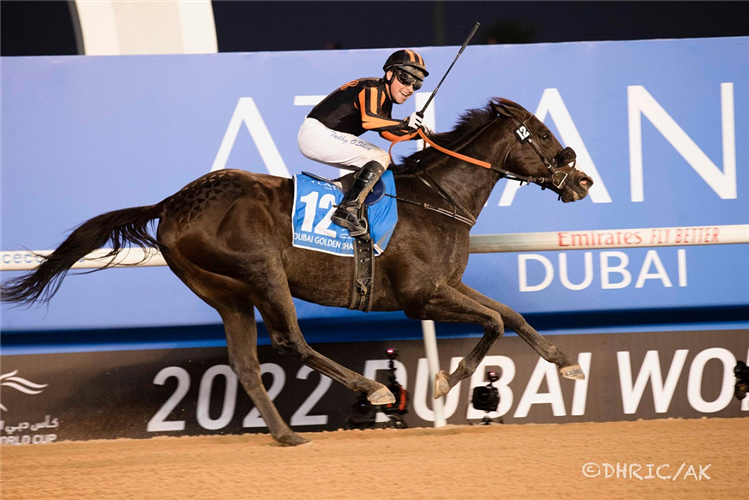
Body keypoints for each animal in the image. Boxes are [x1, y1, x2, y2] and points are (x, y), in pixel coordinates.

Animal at [2, 97, 592, 446]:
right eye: (540, 134)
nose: (583, 179)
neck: (437, 198)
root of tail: (171, 204)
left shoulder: (446, 283)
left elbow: (510, 315)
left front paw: (566, 363)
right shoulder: (420, 296)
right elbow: (492, 322)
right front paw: (446, 381)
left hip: (227, 293)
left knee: (245, 363)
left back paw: (287, 435)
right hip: (263, 271)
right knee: (290, 341)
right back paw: (371, 391)